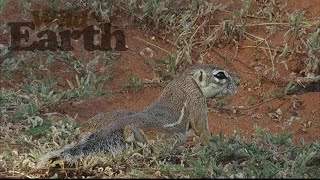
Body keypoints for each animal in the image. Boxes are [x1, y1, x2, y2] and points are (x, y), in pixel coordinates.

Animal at [36, 63, 239, 167]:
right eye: (220, 75)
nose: (238, 82)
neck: (185, 79)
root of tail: (119, 124)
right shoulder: (197, 102)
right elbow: (202, 130)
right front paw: (213, 146)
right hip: (161, 138)